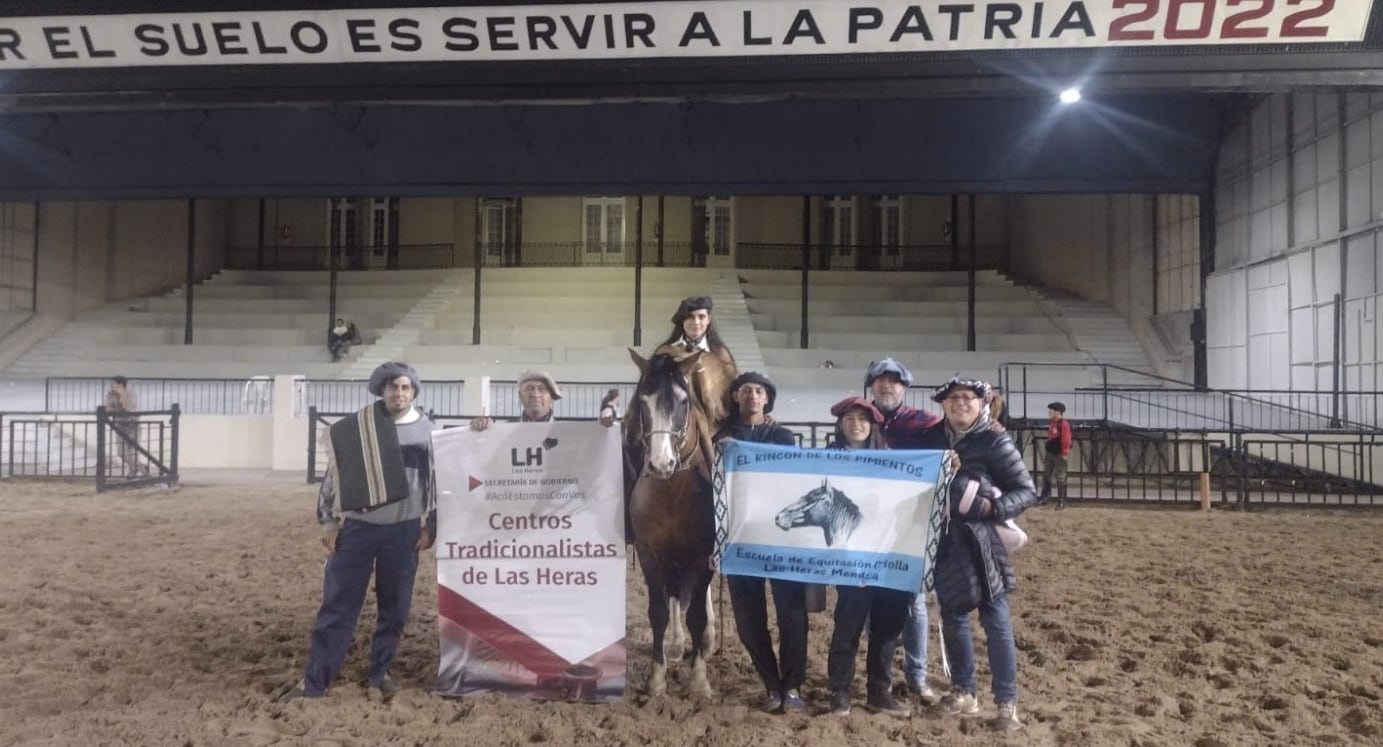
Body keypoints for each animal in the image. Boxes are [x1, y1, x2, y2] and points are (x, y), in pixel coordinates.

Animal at [625, 347, 713, 697]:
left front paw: (700, 679)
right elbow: (658, 611)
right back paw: (675, 645)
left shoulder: (702, 557)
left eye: (683, 401)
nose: (662, 464)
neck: (671, 492)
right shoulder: (650, 555)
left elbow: (698, 614)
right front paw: (656, 676)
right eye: (642, 400)